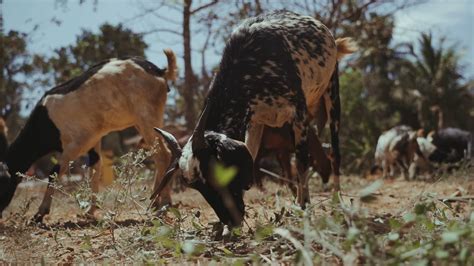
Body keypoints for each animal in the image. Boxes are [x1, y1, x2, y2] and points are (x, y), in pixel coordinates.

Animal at [0, 50, 177, 222]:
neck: (45, 122)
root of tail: (159, 71)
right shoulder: (94, 140)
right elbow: (95, 170)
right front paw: (91, 211)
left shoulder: (75, 144)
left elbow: (54, 173)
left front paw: (40, 213)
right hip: (145, 121)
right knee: (160, 154)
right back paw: (155, 202)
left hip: (146, 117)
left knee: (163, 155)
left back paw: (164, 204)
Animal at [153, 10, 356, 227]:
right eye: (198, 187)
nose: (231, 220)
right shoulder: (253, 122)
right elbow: (255, 154)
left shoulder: (298, 113)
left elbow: (302, 161)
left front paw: (304, 208)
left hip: (332, 94)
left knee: (334, 153)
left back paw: (336, 200)